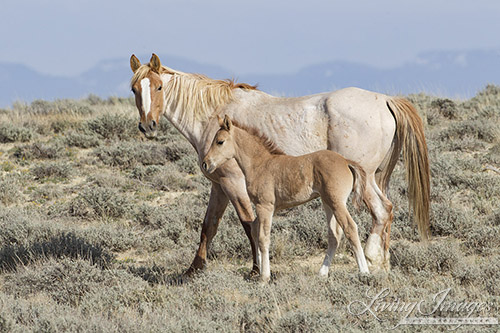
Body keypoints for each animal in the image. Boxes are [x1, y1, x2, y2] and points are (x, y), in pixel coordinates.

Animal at [201, 115, 370, 280]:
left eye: (220, 141)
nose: (205, 164)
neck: (260, 164)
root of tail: (346, 161)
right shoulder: (271, 208)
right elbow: (255, 230)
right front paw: (259, 270)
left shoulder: (265, 206)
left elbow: (263, 238)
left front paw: (264, 277)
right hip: (327, 203)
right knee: (334, 235)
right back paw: (322, 273)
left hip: (337, 202)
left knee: (350, 228)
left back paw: (364, 272)